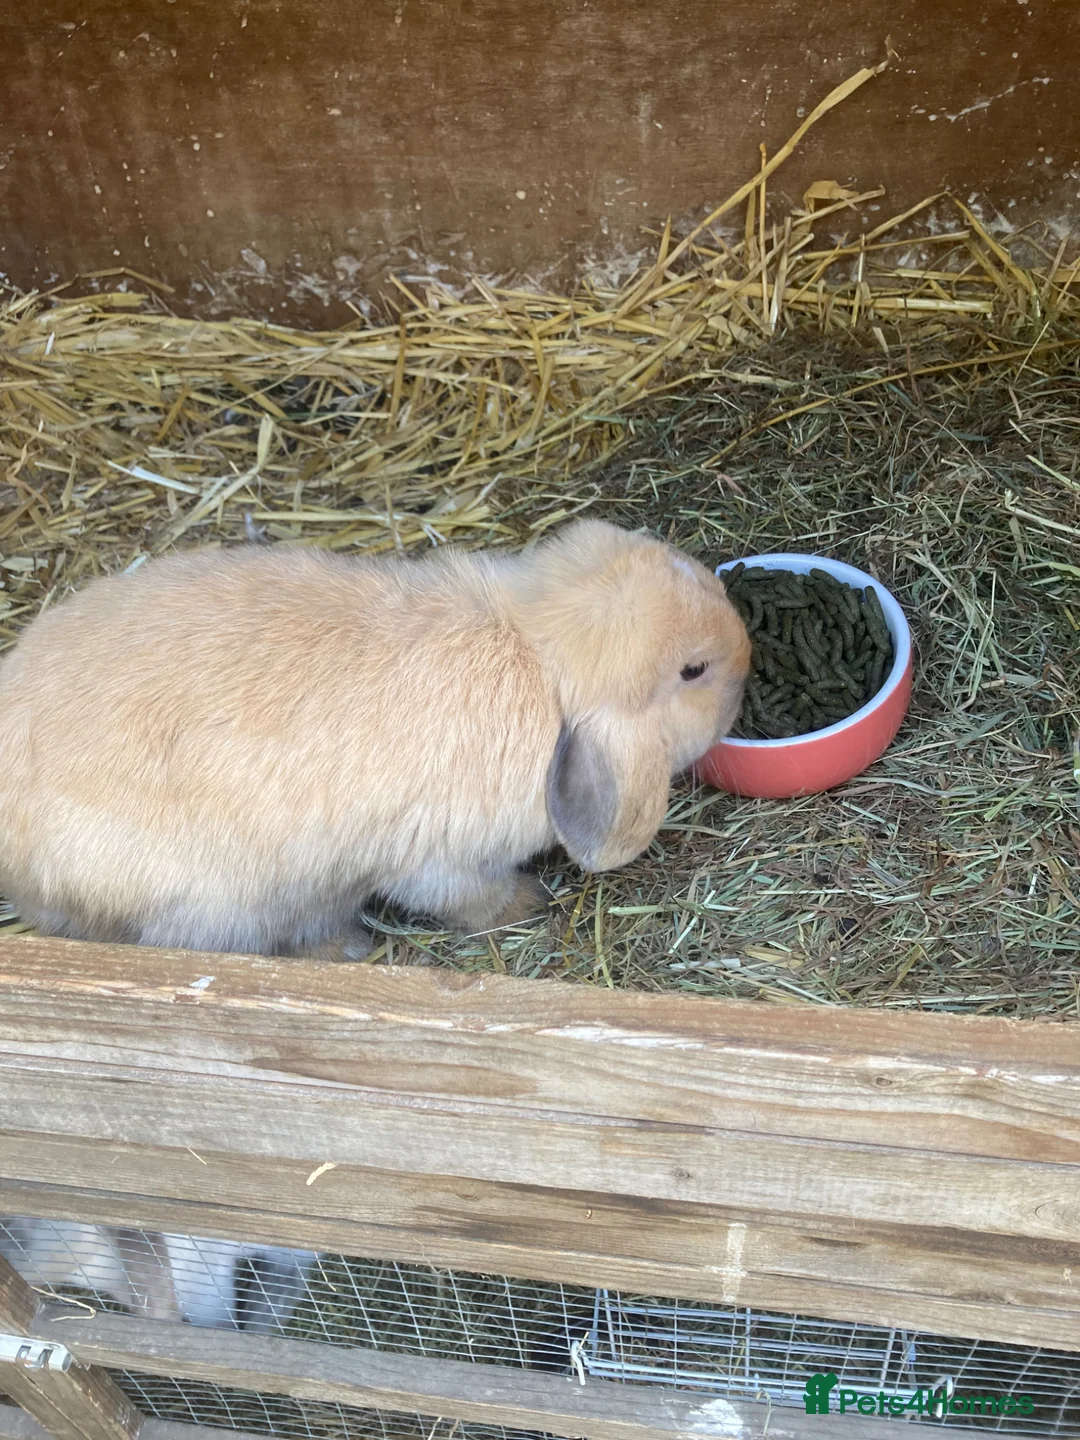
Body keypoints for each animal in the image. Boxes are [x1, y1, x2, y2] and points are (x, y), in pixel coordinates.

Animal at [0, 517, 750, 959]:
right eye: (693, 671)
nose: (747, 659)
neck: (535, 655)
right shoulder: (437, 858)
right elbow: (466, 899)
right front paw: (526, 907)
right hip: (223, 909)